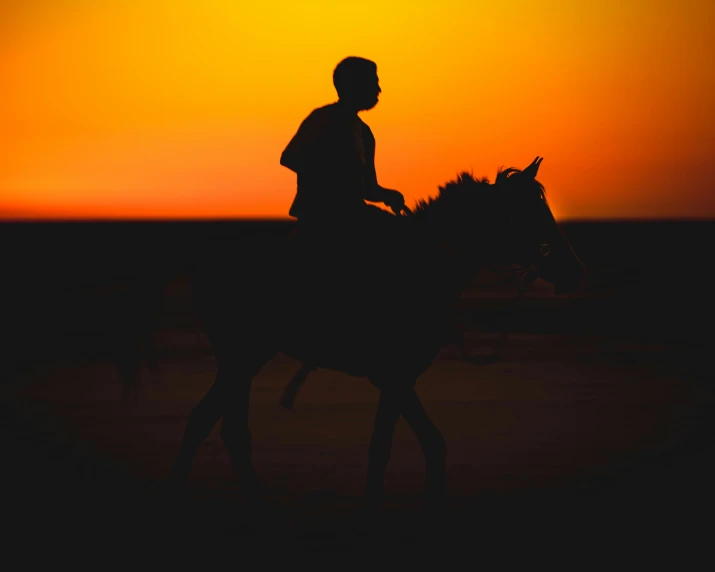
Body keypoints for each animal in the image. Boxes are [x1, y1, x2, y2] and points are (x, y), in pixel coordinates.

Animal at [168, 158, 588, 512]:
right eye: (524, 215)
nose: (573, 270)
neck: (423, 266)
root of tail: (207, 268)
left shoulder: (400, 378)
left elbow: (430, 444)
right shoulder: (394, 376)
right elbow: (383, 449)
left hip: (244, 359)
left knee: (215, 424)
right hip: (242, 358)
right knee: (221, 426)